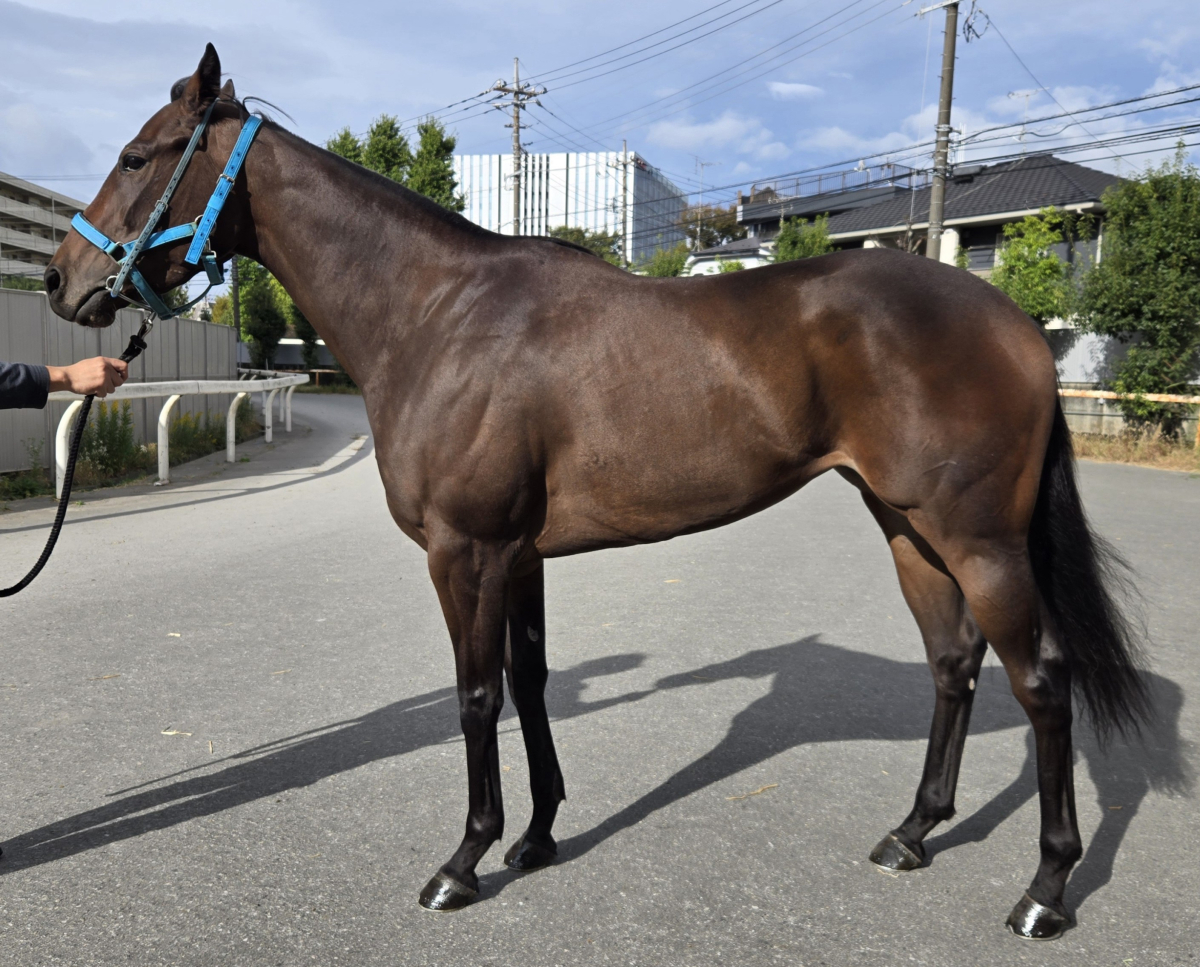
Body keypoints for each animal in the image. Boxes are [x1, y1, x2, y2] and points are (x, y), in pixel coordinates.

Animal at [43, 45, 1148, 940]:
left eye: (138, 157)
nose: (60, 281)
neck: (438, 313)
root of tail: (1017, 323)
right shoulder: (518, 555)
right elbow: (530, 683)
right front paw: (535, 837)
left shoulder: (466, 552)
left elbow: (476, 696)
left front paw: (463, 862)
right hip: (909, 527)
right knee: (954, 665)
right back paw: (913, 832)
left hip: (980, 540)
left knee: (1041, 682)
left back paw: (1046, 890)